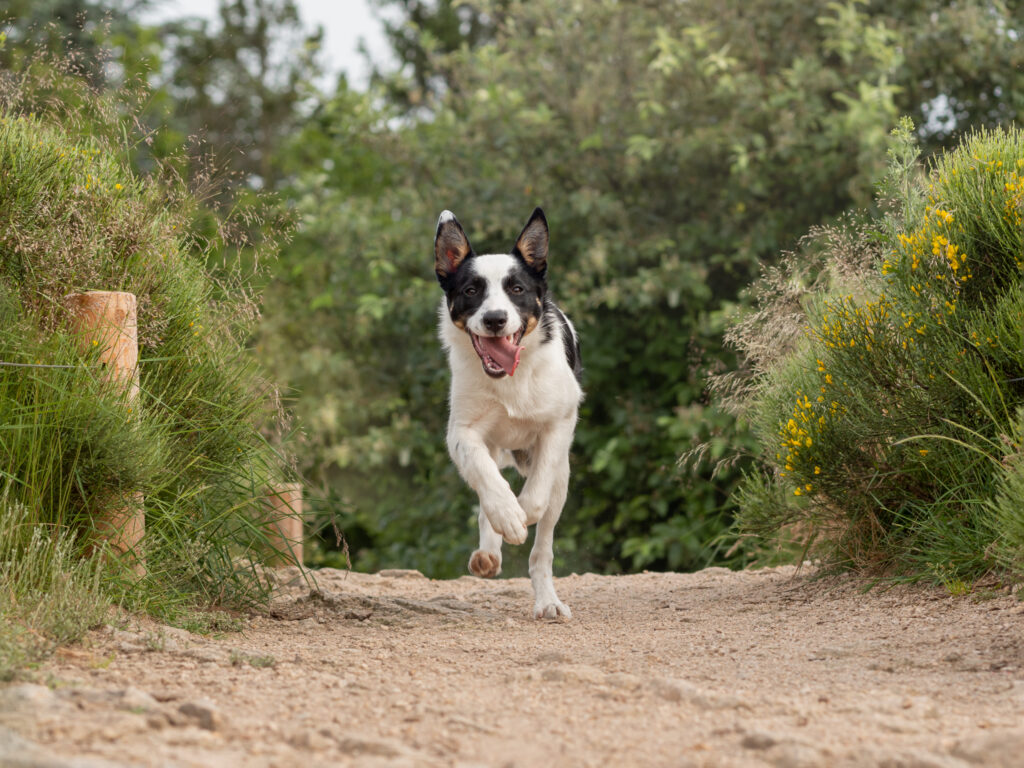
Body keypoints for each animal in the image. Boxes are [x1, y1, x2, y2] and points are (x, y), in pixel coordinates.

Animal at [434, 205, 585, 618]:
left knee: (542, 548)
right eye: (471, 291)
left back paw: (548, 601)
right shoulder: (462, 433)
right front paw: (507, 516)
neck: (509, 380)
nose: (495, 319)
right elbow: (487, 480)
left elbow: (536, 495)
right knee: (486, 487)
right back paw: (489, 551)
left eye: (517, 289)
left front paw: (522, 514)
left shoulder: (558, 425)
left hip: (562, 480)